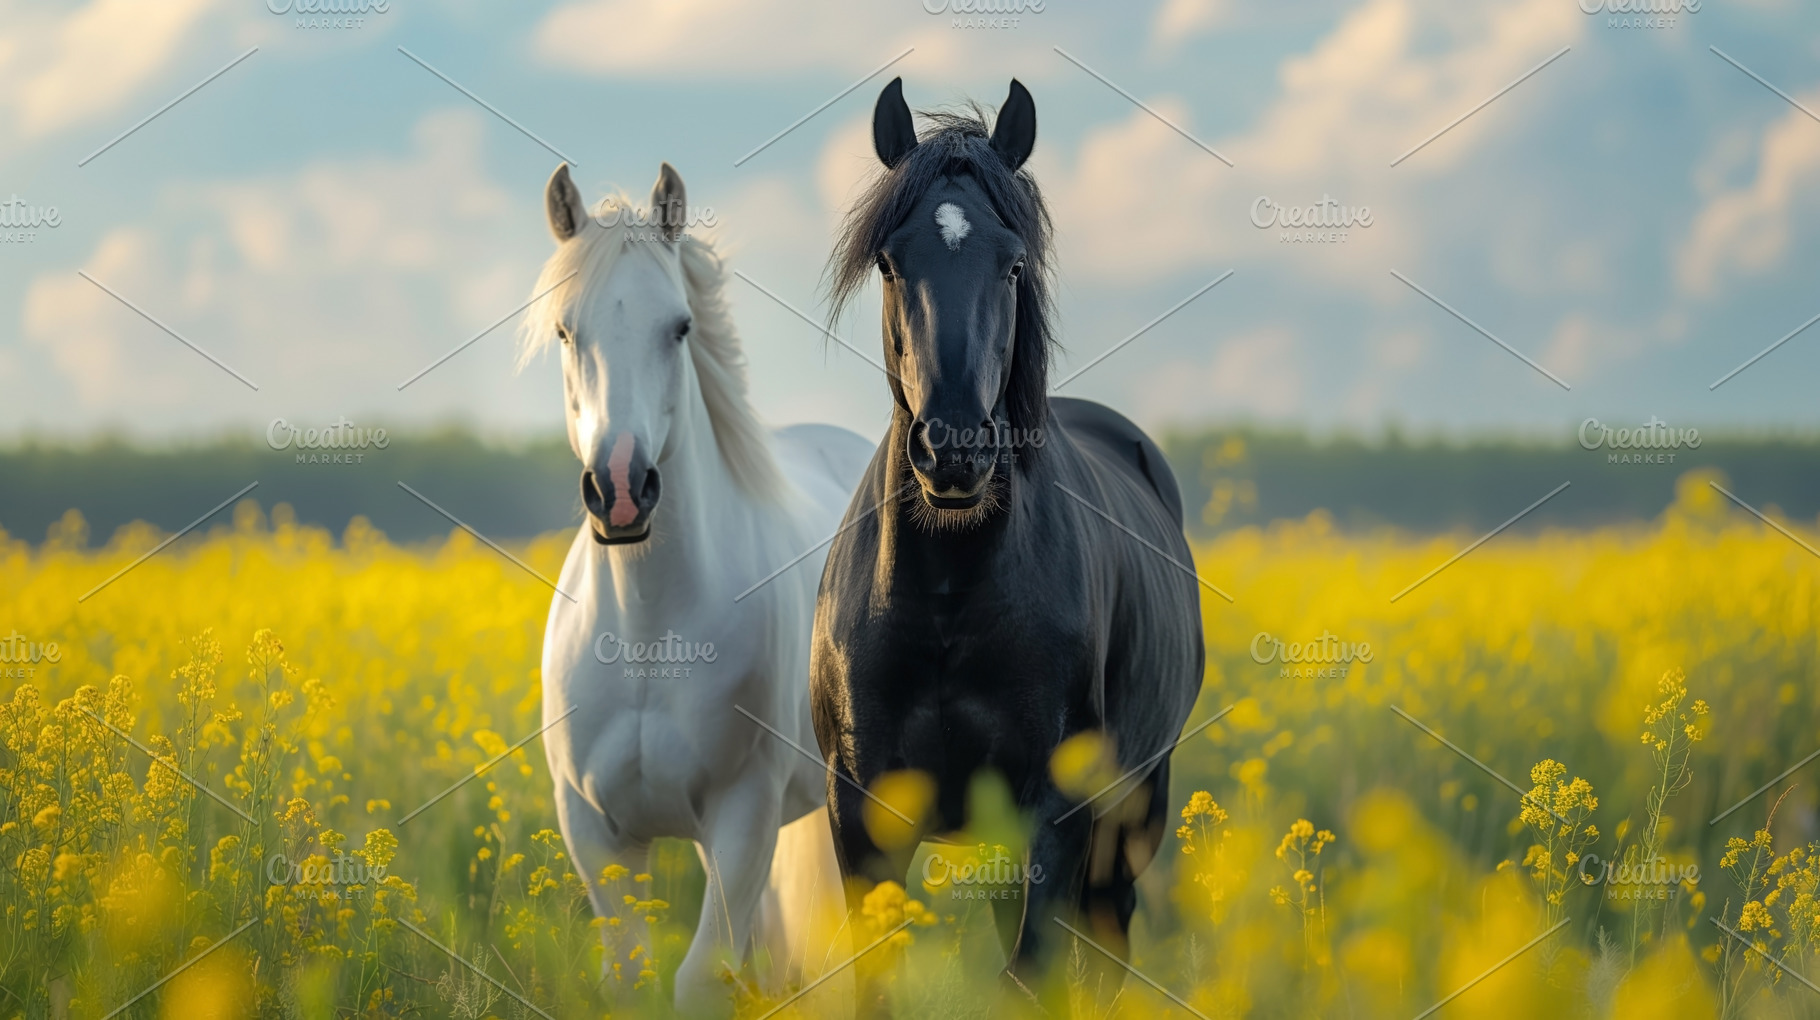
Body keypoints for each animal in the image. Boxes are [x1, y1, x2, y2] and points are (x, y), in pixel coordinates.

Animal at [526, 160, 870, 1018]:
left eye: (679, 326)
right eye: (566, 331)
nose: (620, 490)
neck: (648, 632)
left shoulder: (742, 817)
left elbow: (700, 980)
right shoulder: (597, 832)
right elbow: (632, 977)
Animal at [810, 79, 1204, 1009]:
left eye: (1013, 263)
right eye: (890, 263)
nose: (954, 451)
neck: (948, 595)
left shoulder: (1057, 812)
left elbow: (1034, 973)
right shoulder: (860, 815)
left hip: (1136, 805)